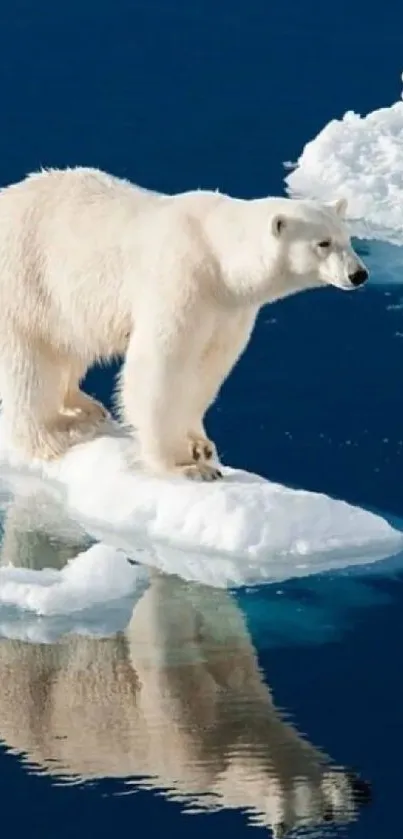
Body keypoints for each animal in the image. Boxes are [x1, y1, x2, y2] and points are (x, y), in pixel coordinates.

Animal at [0, 169, 370, 480]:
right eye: (323, 243)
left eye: (347, 237)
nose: (359, 275)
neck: (216, 256)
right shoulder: (182, 282)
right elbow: (161, 368)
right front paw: (187, 466)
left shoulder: (228, 310)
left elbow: (208, 367)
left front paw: (200, 445)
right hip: (26, 281)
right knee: (30, 363)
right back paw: (54, 434)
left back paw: (85, 406)